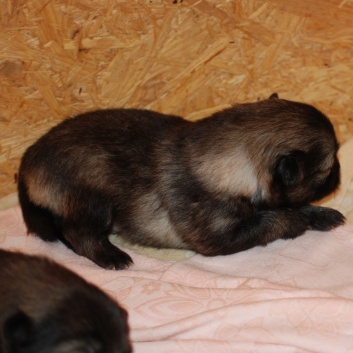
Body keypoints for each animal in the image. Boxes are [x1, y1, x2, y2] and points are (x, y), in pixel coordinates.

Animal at [17, 92, 346, 268]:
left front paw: (320, 214)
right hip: (93, 196)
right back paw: (110, 255)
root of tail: (29, 158)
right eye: (328, 169)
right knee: (77, 230)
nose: (341, 174)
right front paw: (296, 221)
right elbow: (271, 218)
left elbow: (284, 207)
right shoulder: (218, 234)